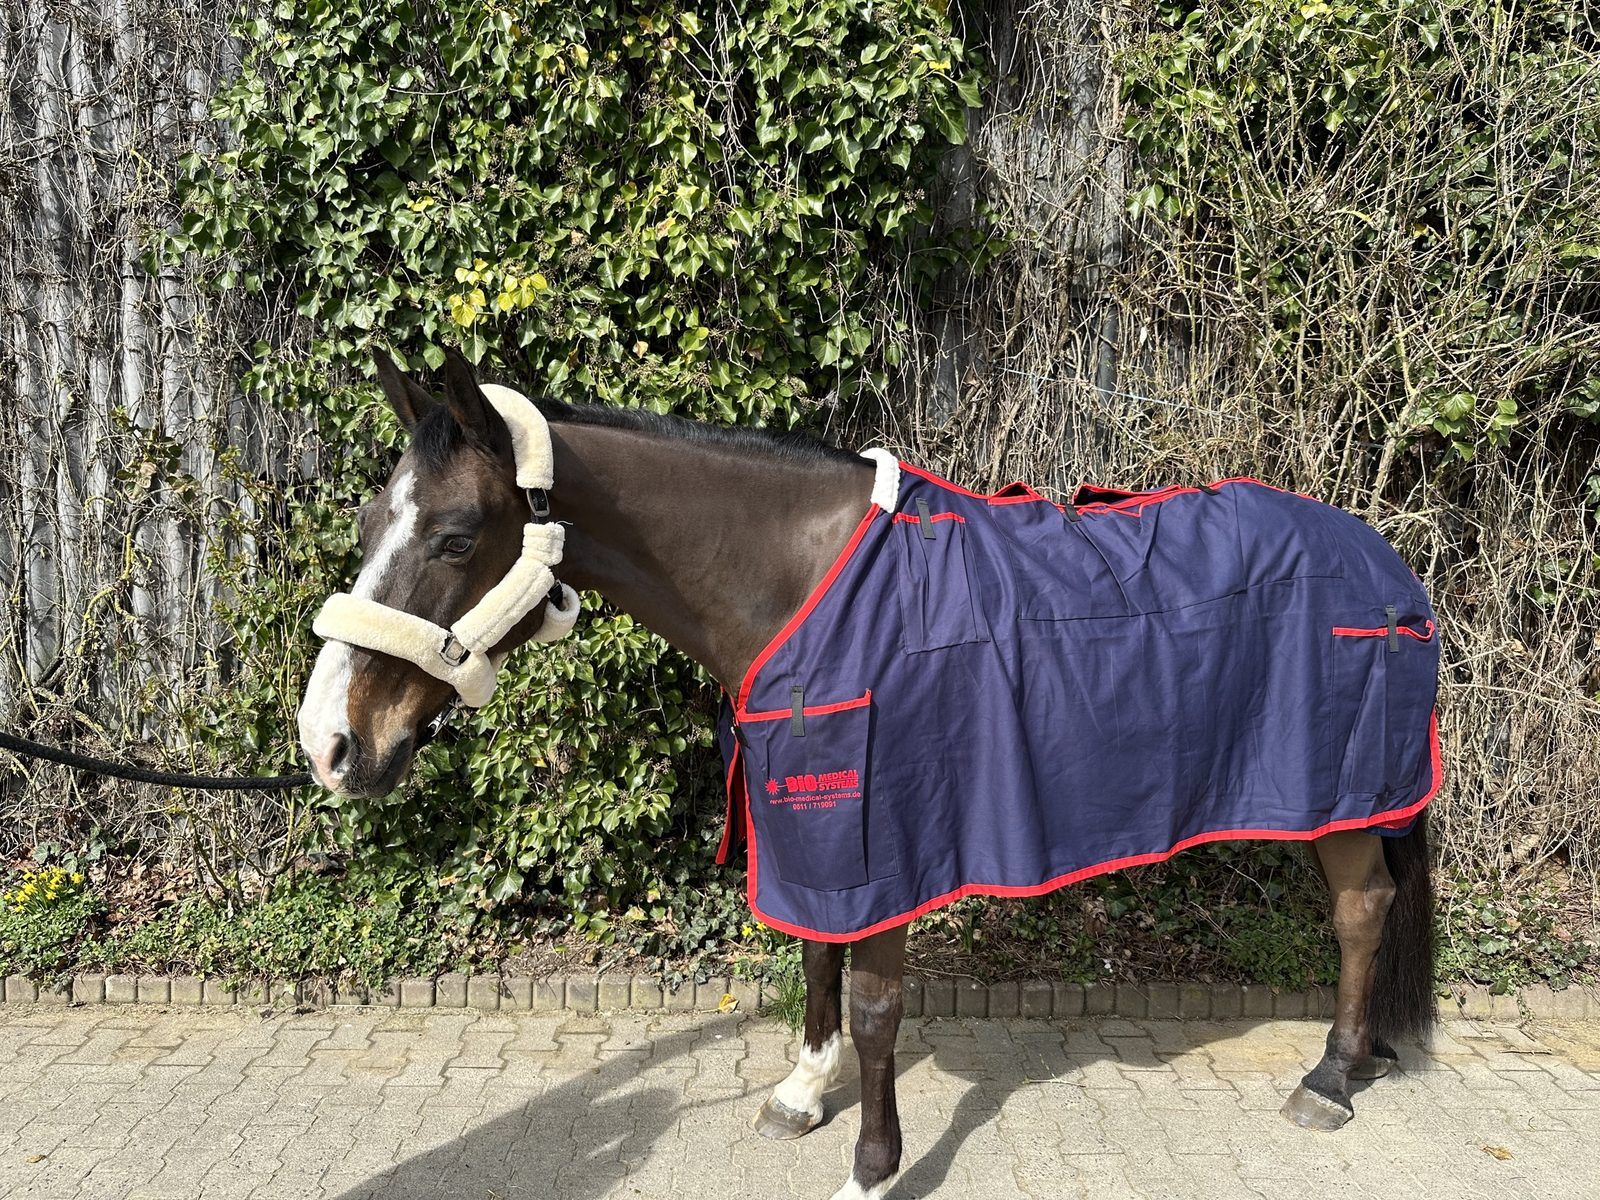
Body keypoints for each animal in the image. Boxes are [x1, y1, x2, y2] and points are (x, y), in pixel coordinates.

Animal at [297, 348, 1440, 1200]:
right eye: (365, 523)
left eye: (455, 537)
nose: (329, 743)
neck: (803, 579)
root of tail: (1384, 557)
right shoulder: (809, 828)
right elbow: (813, 958)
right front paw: (803, 1094)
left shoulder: (887, 838)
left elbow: (878, 1008)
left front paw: (874, 1167)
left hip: (1344, 798)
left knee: (1361, 911)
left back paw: (1329, 1079)